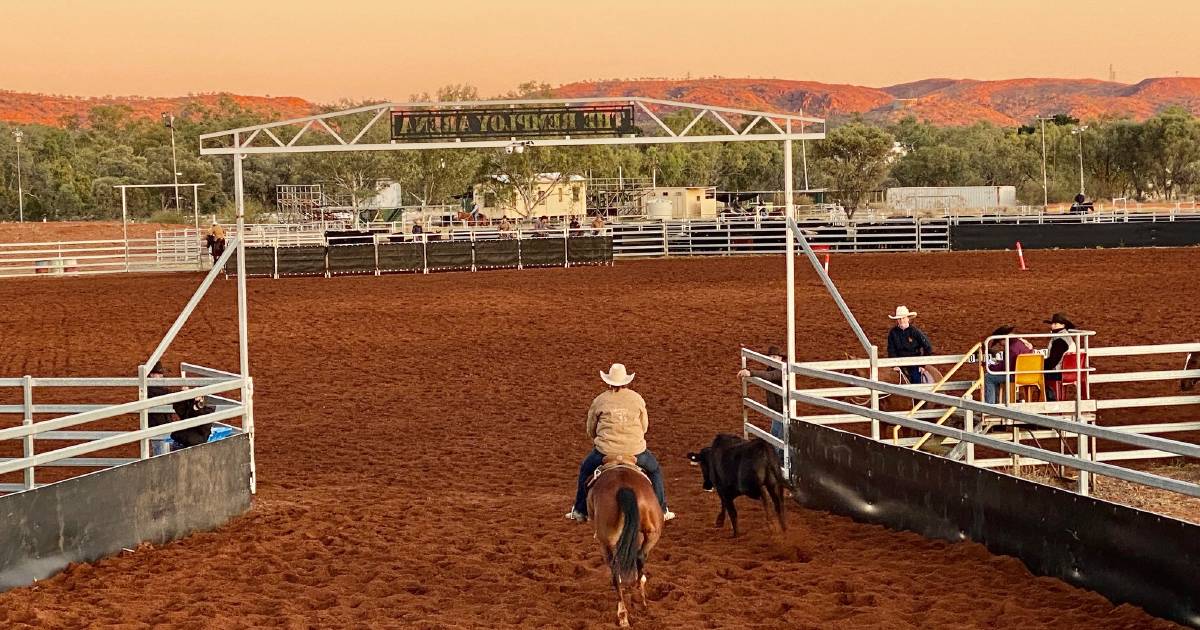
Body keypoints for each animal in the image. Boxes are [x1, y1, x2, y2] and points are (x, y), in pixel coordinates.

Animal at [588, 458, 667, 624]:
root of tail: (624, 486)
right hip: (653, 533)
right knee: (639, 557)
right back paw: (640, 593)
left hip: (606, 542)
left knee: (615, 569)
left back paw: (623, 614)